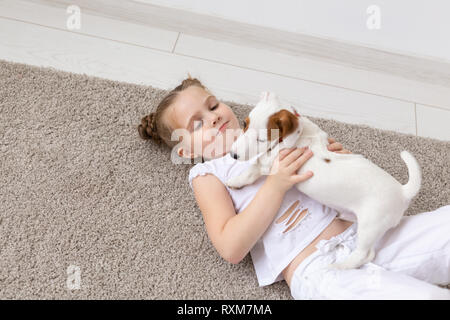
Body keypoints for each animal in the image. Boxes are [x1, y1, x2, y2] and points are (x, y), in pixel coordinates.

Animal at [229, 92, 422, 270]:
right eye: (244, 124)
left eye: (261, 139)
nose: (232, 155)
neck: (298, 135)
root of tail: (403, 192)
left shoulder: (270, 164)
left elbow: (253, 168)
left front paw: (235, 180)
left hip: (370, 226)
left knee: (365, 254)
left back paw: (340, 266)